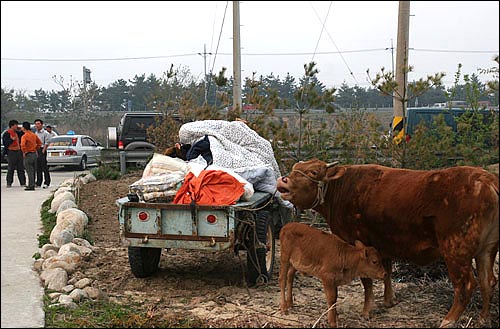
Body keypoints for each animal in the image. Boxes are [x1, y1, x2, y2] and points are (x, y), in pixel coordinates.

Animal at [278, 158, 500, 326]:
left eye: (313, 171)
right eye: (296, 167)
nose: (283, 181)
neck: (343, 189)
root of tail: (487, 180)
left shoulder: (358, 241)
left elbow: (367, 280)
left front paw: (367, 310)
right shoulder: (383, 244)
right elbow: (387, 271)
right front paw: (388, 300)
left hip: (455, 251)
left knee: (466, 285)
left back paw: (449, 320)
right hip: (487, 250)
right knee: (488, 281)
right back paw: (483, 318)